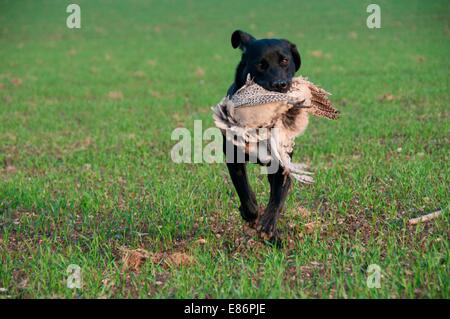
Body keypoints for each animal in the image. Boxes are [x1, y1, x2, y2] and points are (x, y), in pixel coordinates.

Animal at [223, 30, 300, 245]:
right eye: (260, 64)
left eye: (284, 60)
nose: (280, 84)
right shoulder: (234, 160)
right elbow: (244, 192)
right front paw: (251, 214)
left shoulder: (283, 166)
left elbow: (277, 198)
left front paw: (268, 228)